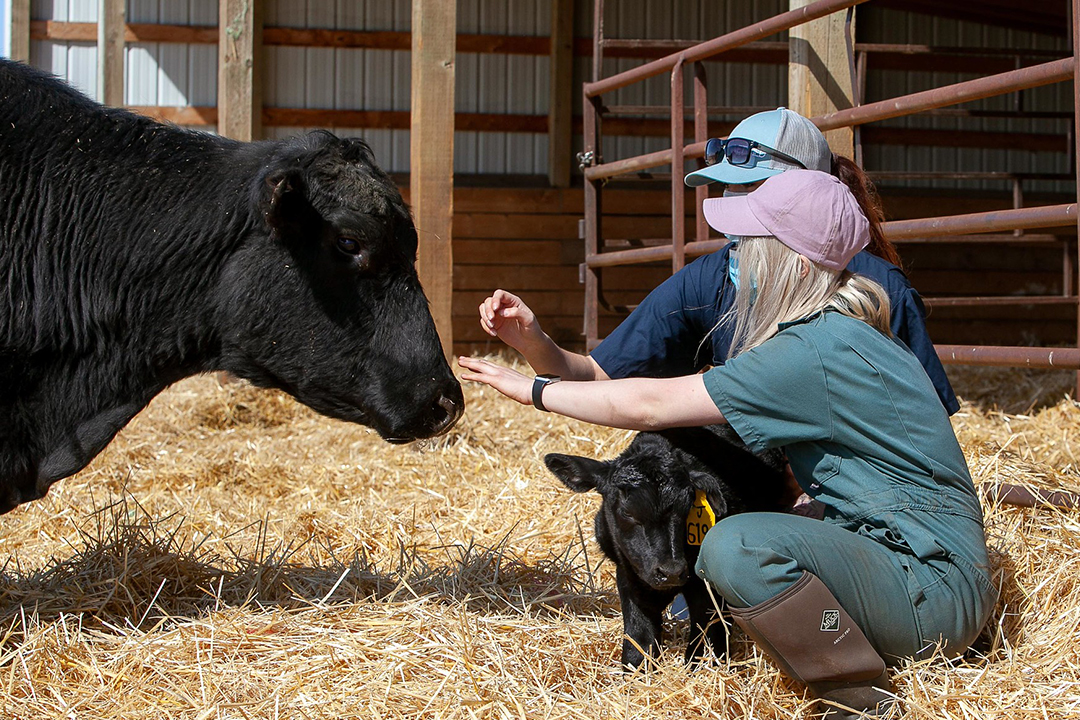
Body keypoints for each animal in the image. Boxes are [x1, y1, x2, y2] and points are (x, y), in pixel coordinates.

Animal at [548, 425, 786, 669]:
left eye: (687, 507)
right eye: (627, 512)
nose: (671, 572)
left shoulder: (704, 586)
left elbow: (704, 642)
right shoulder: (628, 574)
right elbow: (638, 643)